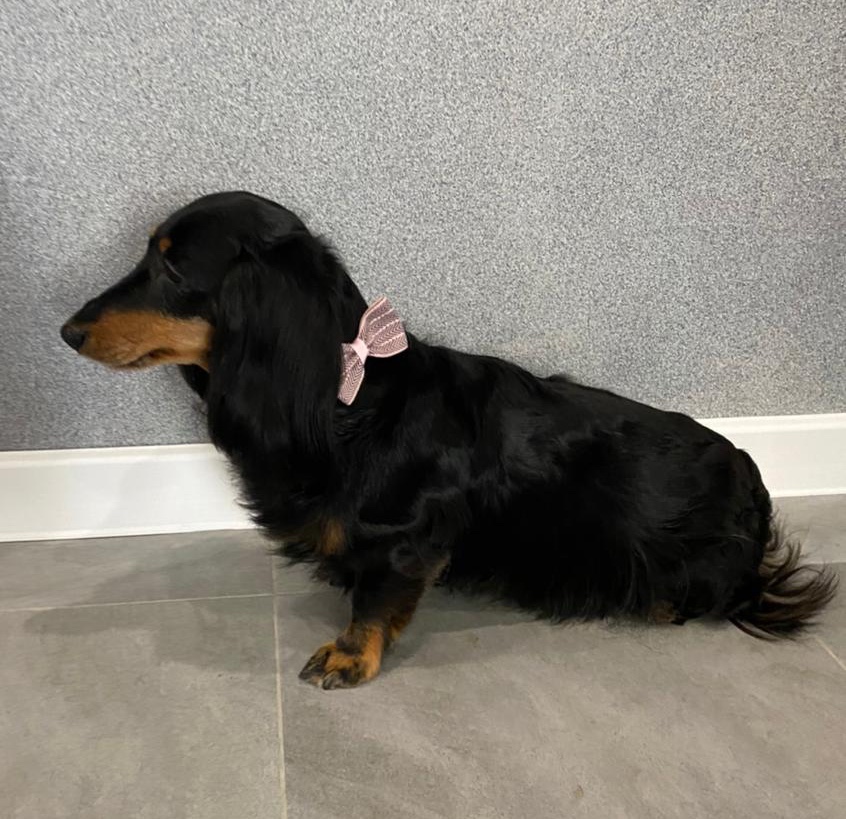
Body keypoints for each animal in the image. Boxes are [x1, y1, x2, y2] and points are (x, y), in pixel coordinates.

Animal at [61, 191, 837, 689]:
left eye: (172, 267)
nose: (66, 331)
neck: (347, 403)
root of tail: (752, 477)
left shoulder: (405, 539)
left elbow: (376, 603)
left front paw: (350, 656)